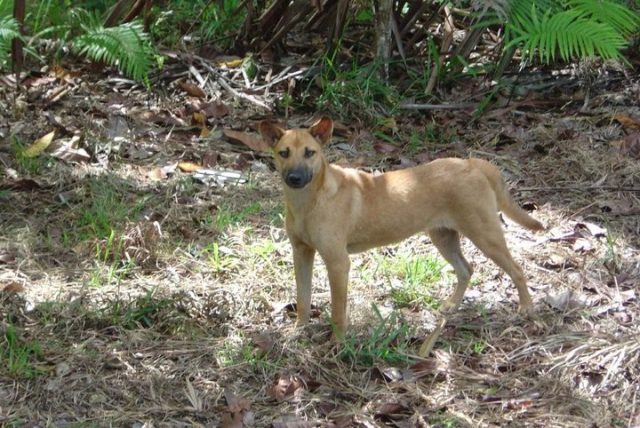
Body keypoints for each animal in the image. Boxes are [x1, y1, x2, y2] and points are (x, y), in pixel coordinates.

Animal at [258, 115, 544, 352]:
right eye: (283, 153)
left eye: (310, 153)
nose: (294, 178)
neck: (309, 201)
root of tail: (473, 162)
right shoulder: (301, 253)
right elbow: (303, 298)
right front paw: (298, 331)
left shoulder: (338, 262)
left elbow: (338, 312)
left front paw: (338, 344)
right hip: (443, 236)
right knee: (466, 269)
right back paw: (451, 306)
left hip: (485, 234)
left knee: (517, 270)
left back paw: (527, 309)